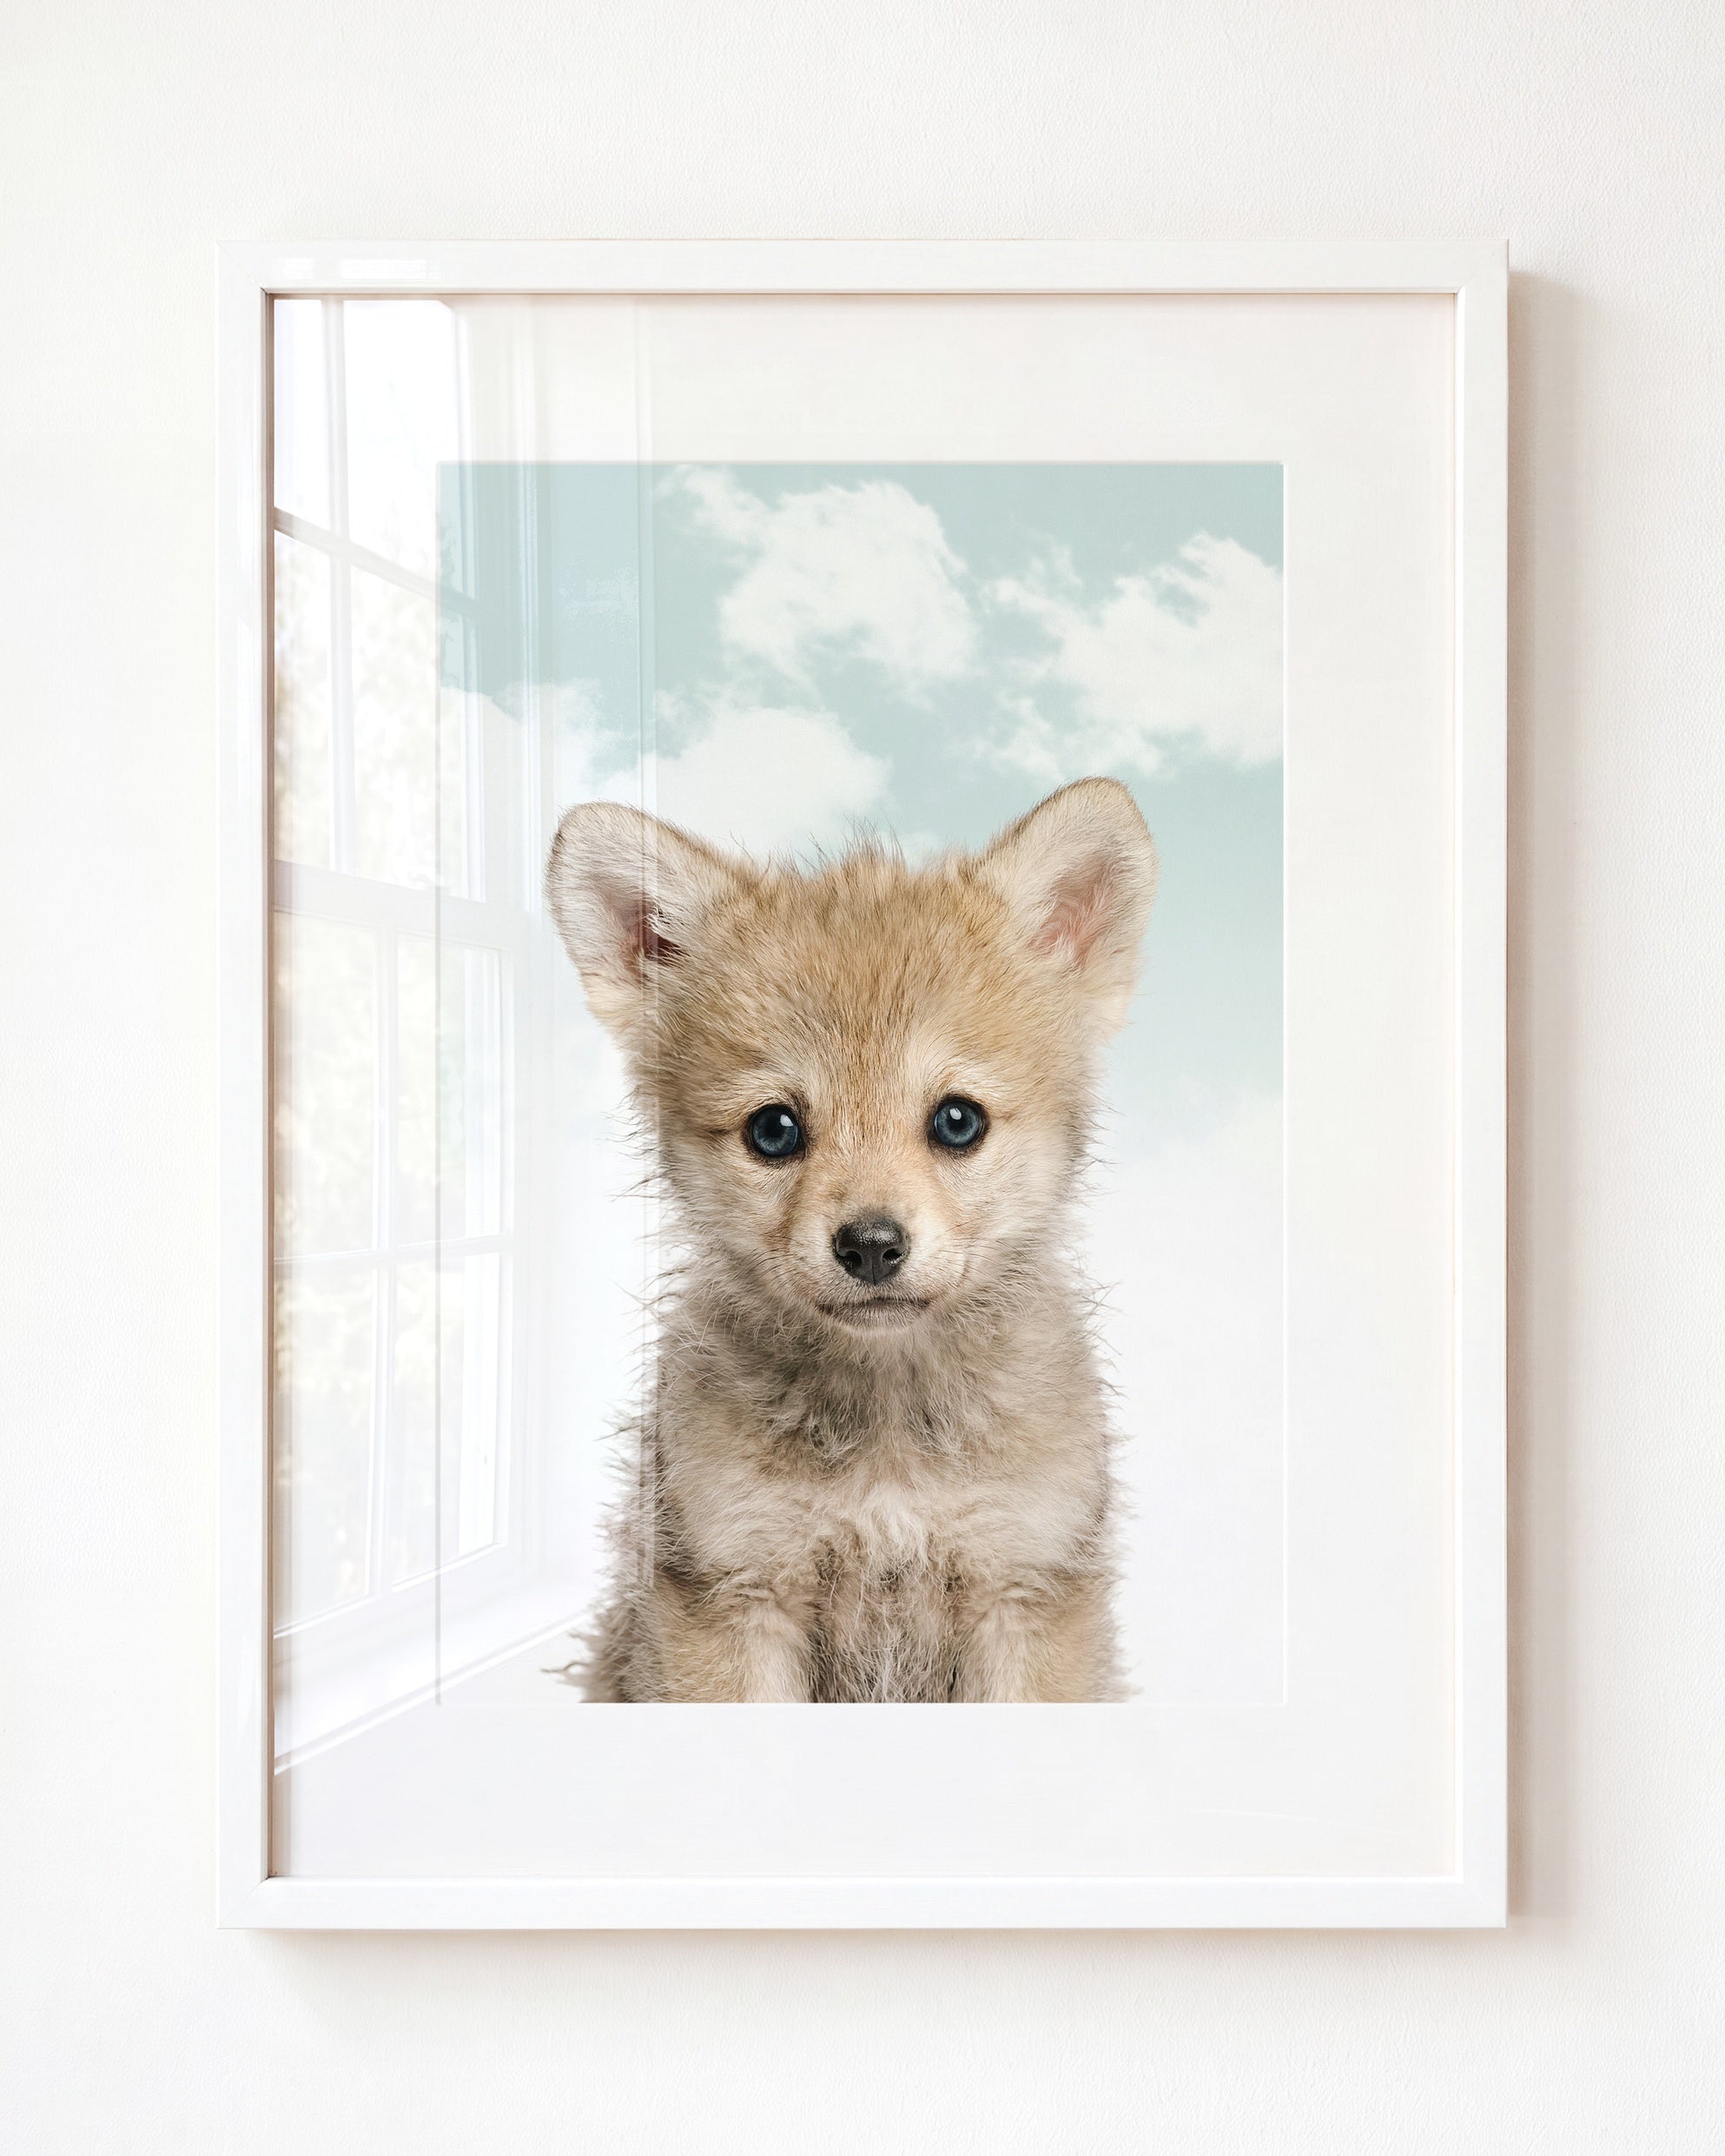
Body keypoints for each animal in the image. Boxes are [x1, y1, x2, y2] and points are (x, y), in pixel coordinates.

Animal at [545, 777, 1158, 1701]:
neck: (888, 1443)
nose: (871, 1245)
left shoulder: (1023, 1589)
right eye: (773, 1131)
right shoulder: (735, 1593)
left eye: (957, 1121)